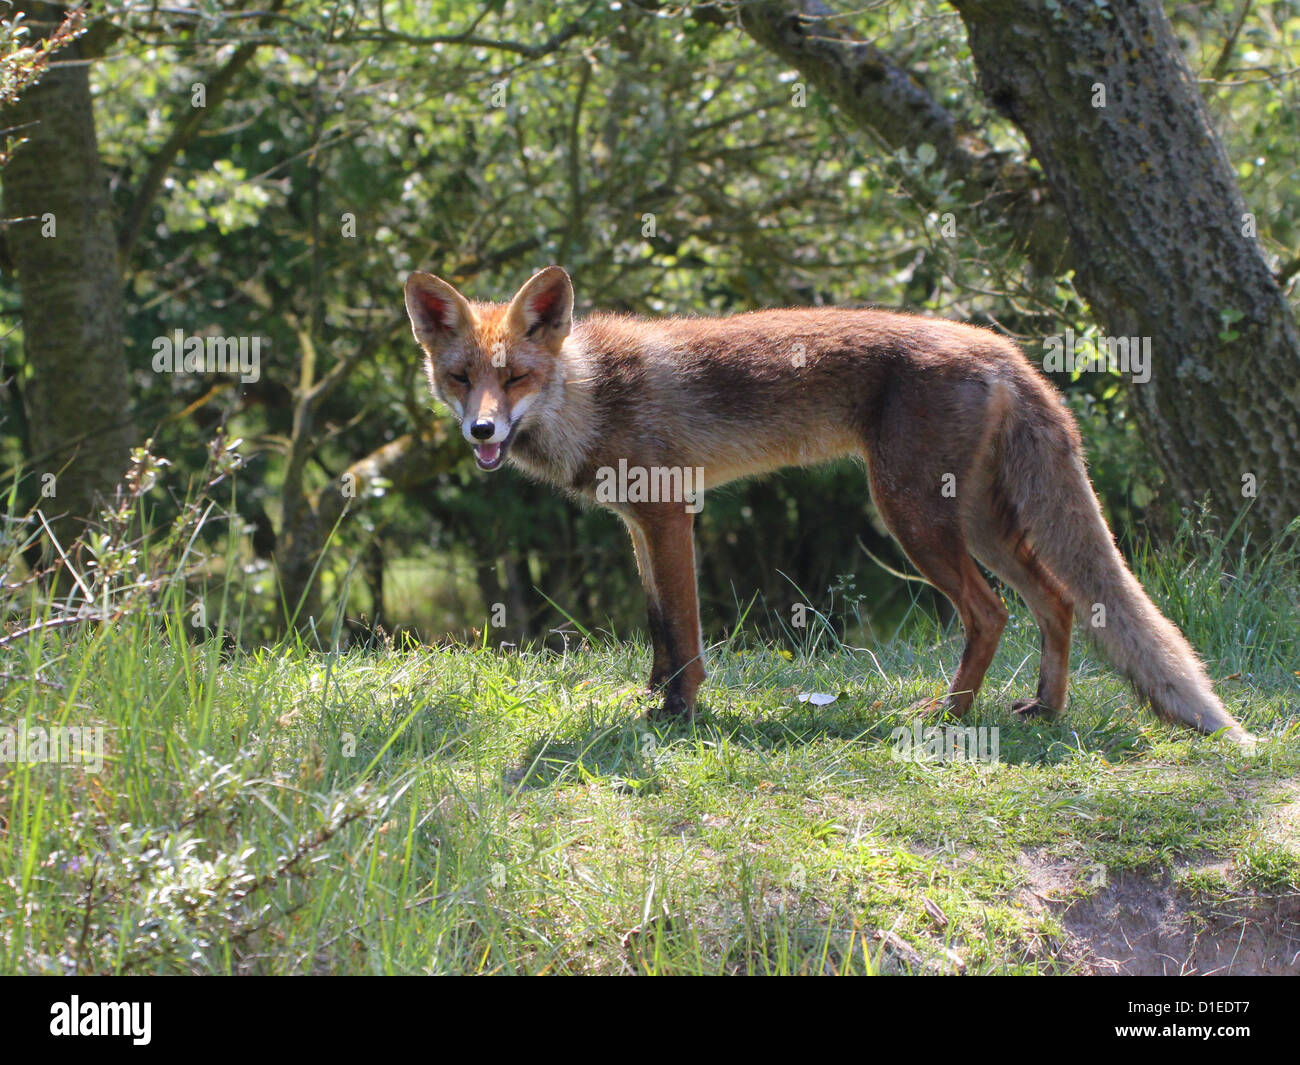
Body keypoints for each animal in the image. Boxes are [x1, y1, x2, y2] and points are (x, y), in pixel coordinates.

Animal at [404, 265, 1253, 747]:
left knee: (991, 612)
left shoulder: (671, 512)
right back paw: (1043, 710)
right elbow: (656, 625)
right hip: (978, 521)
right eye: (460, 377)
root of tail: (1002, 347)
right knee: (1058, 601)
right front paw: (650, 694)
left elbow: (685, 632)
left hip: (913, 516)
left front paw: (679, 712)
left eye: (515, 377)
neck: (588, 392)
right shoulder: (638, 523)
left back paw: (948, 716)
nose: (482, 431)